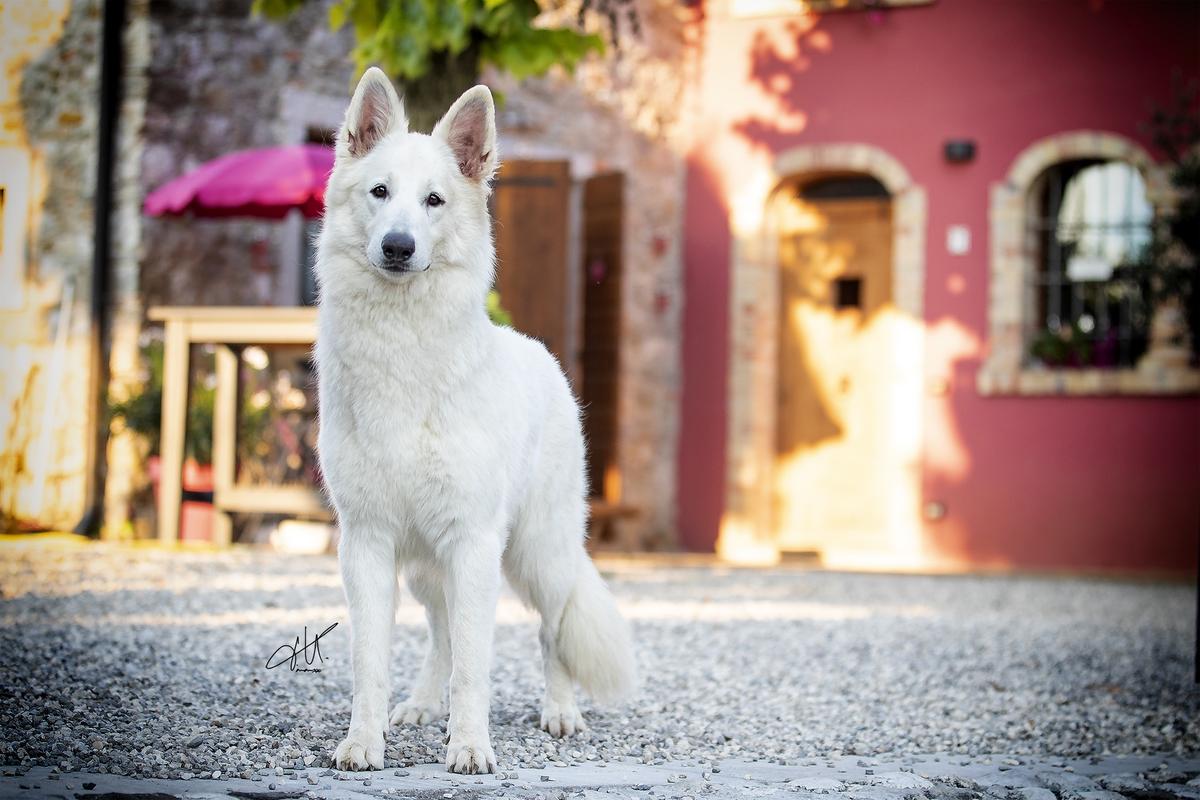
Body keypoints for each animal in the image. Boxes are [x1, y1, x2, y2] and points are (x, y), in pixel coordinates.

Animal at [312, 70, 638, 777]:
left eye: (434, 200)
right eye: (380, 192)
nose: (398, 246)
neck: (404, 352)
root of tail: (539, 352)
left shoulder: (472, 543)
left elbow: (476, 665)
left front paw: (468, 747)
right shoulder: (368, 543)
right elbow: (371, 661)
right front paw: (365, 742)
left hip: (539, 553)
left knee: (550, 632)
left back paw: (560, 712)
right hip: (425, 566)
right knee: (440, 635)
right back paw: (418, 706)